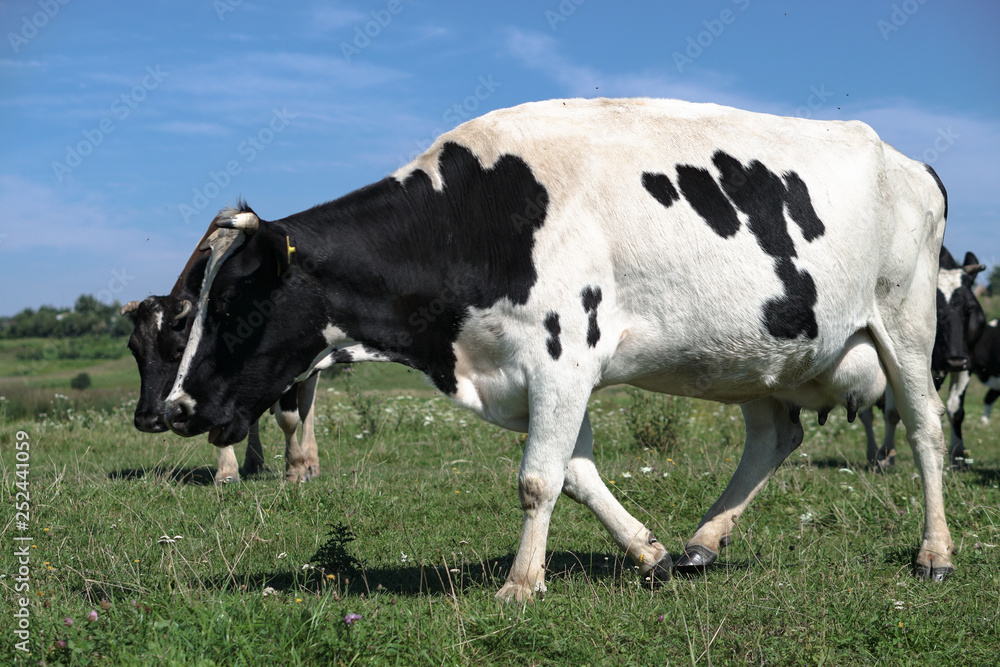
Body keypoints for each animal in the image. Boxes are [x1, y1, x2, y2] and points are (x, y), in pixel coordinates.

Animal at [120, 222, 324, 482]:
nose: (147, 419)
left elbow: (288, 419)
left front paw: (296, 467)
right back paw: (253, 462)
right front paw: (227, 470)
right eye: (134, 349)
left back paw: (311, 461)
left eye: (179, 349)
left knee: (308, 407)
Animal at [162, 95, 952, 600]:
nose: (174, 408)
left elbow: (538, 479)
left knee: (925, 431)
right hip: (755, 356)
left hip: (906, 324)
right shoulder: (532, 374)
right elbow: (576, 472)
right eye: (189, 307)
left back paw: (936, 552)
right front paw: (649, 553)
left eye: (232, 304)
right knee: (775, 435)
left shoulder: (563, 355)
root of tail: (908, 161)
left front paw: (520, 583)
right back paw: (703, 540)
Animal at [856, 248, 988, 468]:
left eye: (969, 307)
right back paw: (873, 452)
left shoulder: (968, 360)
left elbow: (956, 410)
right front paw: (886, 454)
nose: (955, 361)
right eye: (936, 309)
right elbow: (892, 413)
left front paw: (958, 455)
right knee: (866, 413)